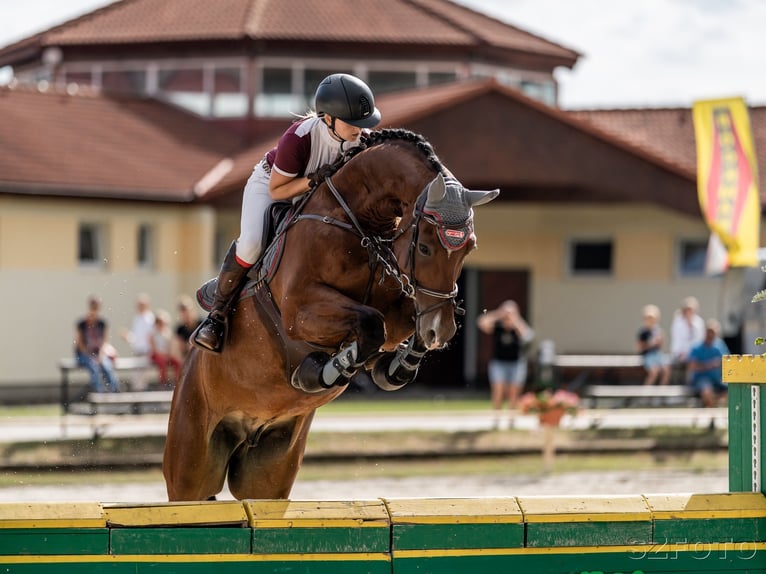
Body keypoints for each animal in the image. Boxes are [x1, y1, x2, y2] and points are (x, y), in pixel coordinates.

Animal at [164, 128, 498, 502]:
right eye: (425, 247)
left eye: (469, 247)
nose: (441, 331)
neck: (358, 223)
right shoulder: (300, 309)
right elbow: (370, 324)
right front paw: (326, 369)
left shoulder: (400, 303)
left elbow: (393, 325)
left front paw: (395, 366)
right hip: (191, 463)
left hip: (268, 471)